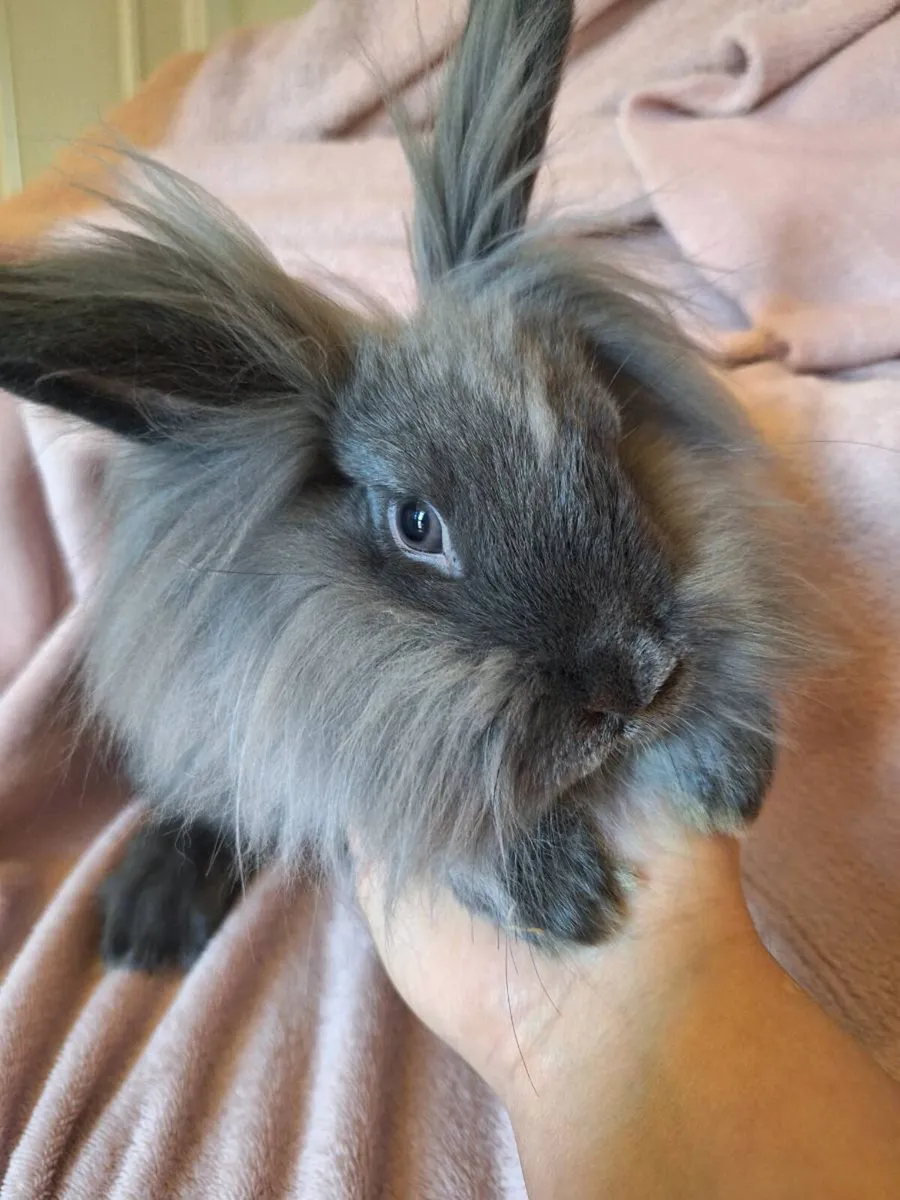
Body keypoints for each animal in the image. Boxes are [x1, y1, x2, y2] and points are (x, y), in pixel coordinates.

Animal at [0, 0, 807, 971]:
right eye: (416, 524)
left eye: (606, 432)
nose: (636, 683)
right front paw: (562, 893)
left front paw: (724, 771)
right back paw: (145, 920)